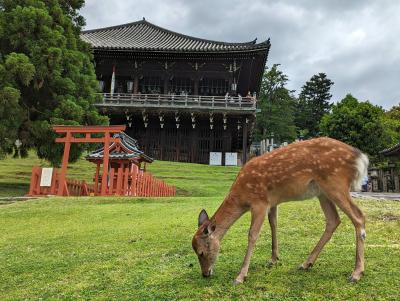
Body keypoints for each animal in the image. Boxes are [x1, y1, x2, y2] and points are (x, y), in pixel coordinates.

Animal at [191, 138, 368, 284]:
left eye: (201, 252)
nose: (205, 274)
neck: (242, 198)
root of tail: (361, 157)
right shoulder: (272, 203)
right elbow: (274, 225)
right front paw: (274, 259)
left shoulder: (259, 202)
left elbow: (252, 234)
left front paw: (240, 276)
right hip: (322, 192)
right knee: (333, 220)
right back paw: (306, 263)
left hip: (336, 184)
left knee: (358, 216)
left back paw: (356, 273)